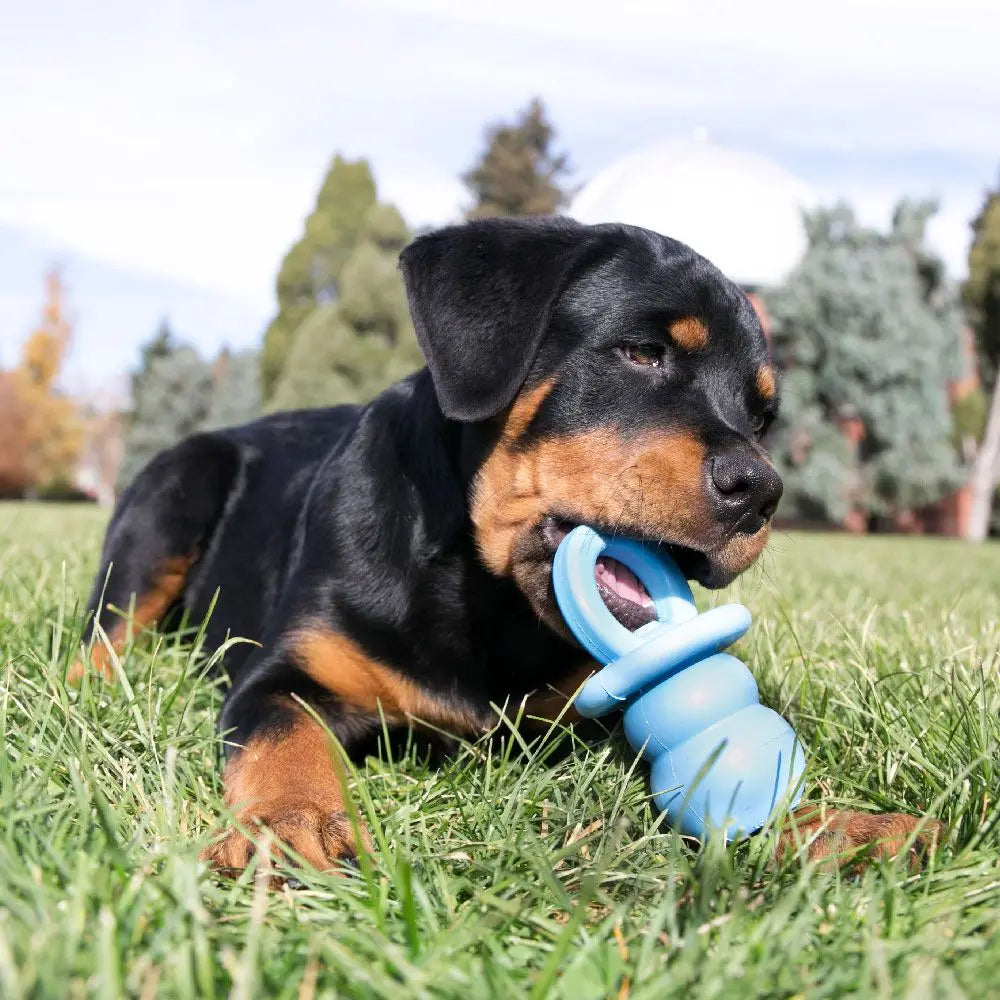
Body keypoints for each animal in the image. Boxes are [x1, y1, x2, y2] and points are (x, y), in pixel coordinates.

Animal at [74, 219, 940, 876]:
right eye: (642, 352)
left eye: (762, 415)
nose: (761, 491)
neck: (485, 600)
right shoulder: (286, 674)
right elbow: (282, 740)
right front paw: (291, 824)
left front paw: (842, 829)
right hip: (174, 492)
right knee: (102, 637)